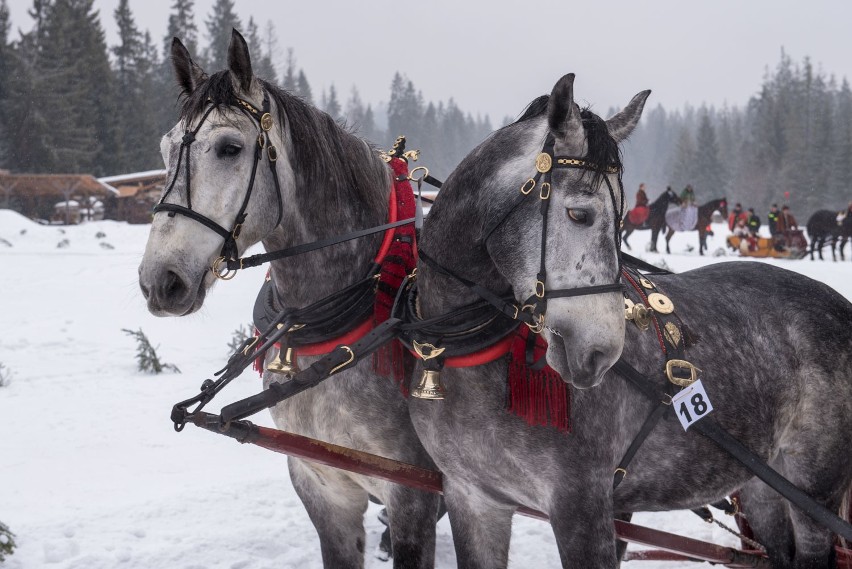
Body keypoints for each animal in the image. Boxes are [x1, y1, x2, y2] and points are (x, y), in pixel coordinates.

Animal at [412, 73, 852, 564]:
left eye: (622, 217)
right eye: (579, 214)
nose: (600, 351)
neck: (474, 352)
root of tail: (840, 305)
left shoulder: (581, 504)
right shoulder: (472, 498)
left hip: (812, 488)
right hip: (761, 484)